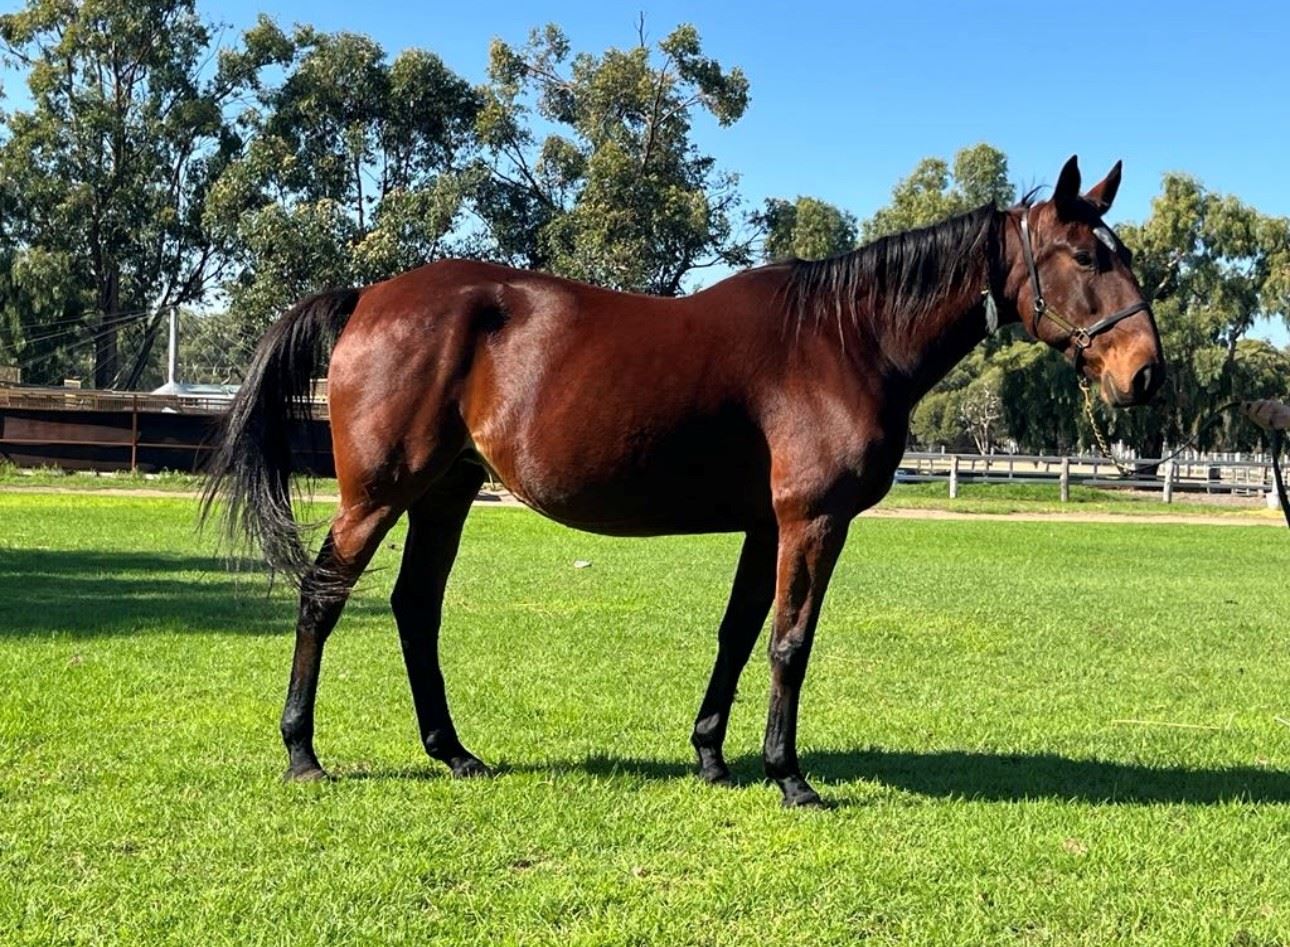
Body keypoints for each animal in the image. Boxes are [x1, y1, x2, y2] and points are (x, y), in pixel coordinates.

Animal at [204, 155, 1165, 807]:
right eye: (1086, 257)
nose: (1146, 375)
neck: (844, 337)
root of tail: (368, 296)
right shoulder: (811, 520)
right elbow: (790, 642)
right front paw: (789, 775)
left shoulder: (766, 524)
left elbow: (738, 634)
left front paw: (712, 754)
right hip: (378, 495)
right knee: (323, 596)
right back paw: (302, 750)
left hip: (444, 492)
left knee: (415, 607)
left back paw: (454, 750)